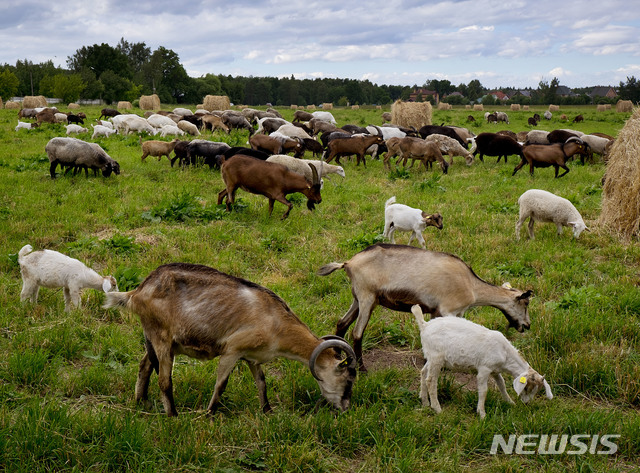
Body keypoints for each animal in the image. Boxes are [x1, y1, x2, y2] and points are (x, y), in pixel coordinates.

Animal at [102, 264, 358, 414]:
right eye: (347, 379)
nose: (345, 408)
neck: (274, 320)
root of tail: (137, 292)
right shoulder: (232, 350)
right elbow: (221, 383)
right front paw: (210, 413)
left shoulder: (252, 357)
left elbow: (261, 382)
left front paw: (267, 410)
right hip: (162, 340)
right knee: (165, 380)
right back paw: (173, 415)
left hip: (155, 338)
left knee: (145, 364)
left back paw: (142, 402)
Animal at [318, 243, 532, 372]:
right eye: (526, 303)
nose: (527, 326)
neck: (471, 285)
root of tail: (349, 263)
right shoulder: (448, 310)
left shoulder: (440, 312)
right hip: (367, 297)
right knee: (357, 332)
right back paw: (362, 368)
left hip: (357, 298)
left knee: (342, 323)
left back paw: (338, 357)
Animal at [412, 302, 552, 416]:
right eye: (527, 388)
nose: (527, 404)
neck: (505, 352)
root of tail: (424, 325)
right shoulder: (485, 368)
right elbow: (483, 390)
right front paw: (482, 413)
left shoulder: (495, 370)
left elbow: (502, 385)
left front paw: (510, 402)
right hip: (436, 357)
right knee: (431, 380)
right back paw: (437, 408)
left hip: (430, 356)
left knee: (423, 372)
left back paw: (425, 403)